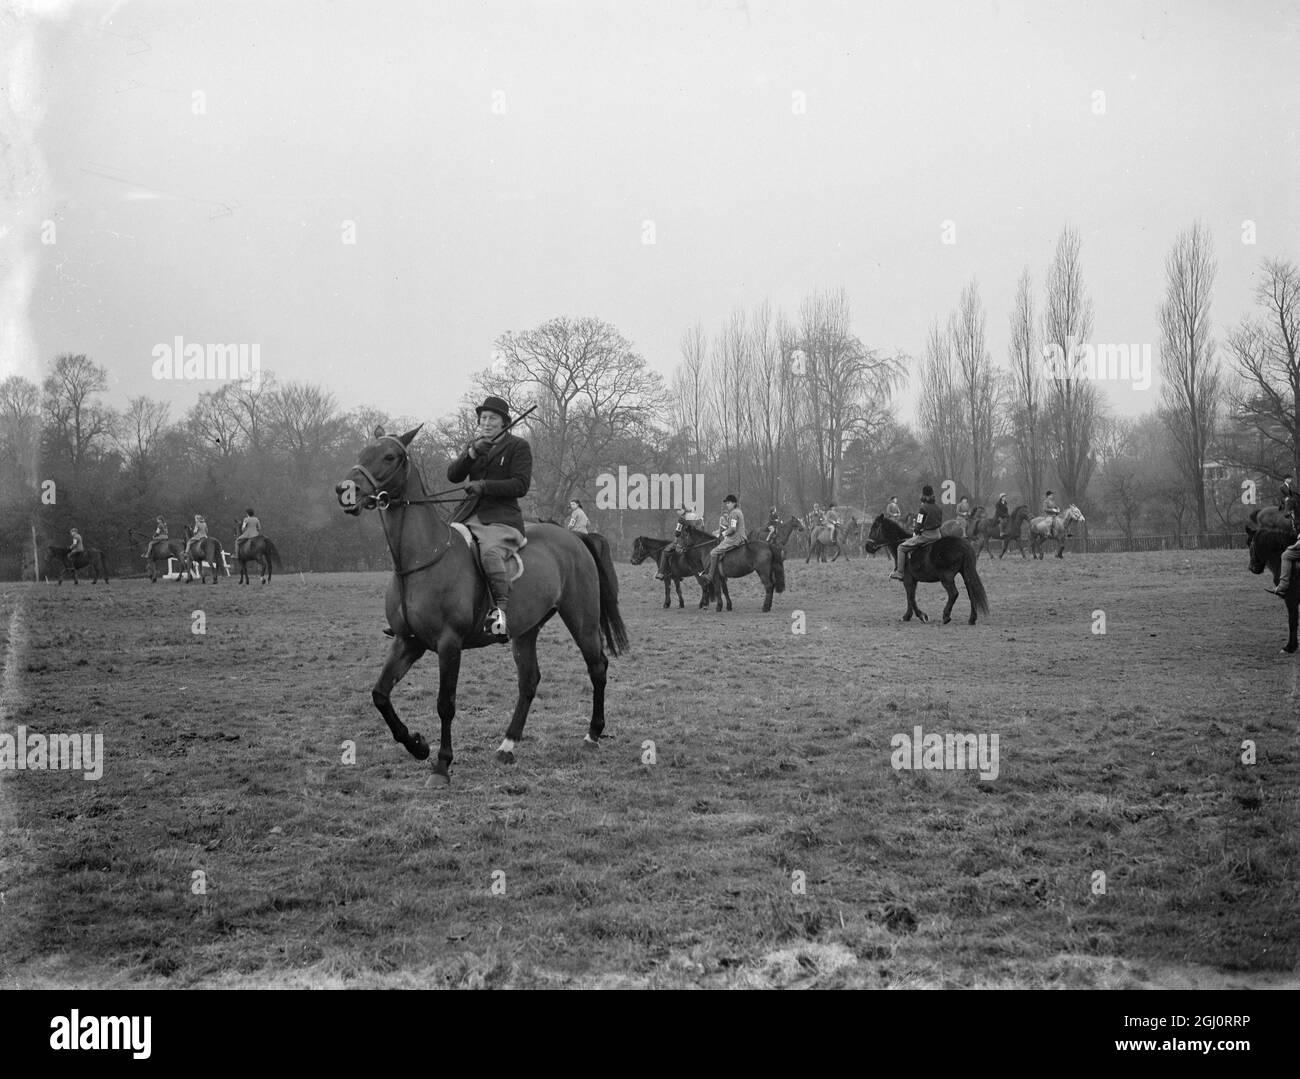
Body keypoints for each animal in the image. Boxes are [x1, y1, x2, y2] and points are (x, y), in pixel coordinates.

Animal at [335, 423, 629, 785]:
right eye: (363, 452)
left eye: (389, 456)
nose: (344, 491)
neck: (423, 558)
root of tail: (573, 537)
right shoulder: (407, 642)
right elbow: (380, 695)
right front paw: (417, 745)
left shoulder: (449, 645)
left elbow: (445, 704)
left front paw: (442, 765)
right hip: (526, 630)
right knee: (529, 681)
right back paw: (508, 745)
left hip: (581, 619)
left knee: (597, 667)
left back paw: (592, 735)